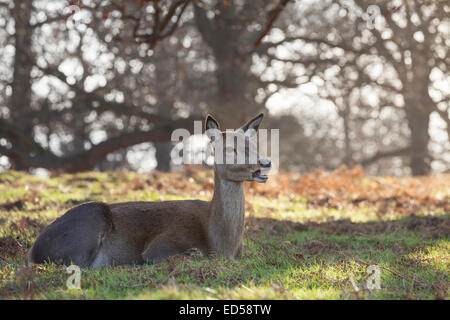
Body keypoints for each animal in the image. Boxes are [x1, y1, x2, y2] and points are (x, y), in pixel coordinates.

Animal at [28, 112, 272, 268]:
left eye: (254, 145)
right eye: (230, 148)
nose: (266, 162)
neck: (222, 245)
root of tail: (32, 252)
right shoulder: (163, 245)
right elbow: (190, 254)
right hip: (88, 225)